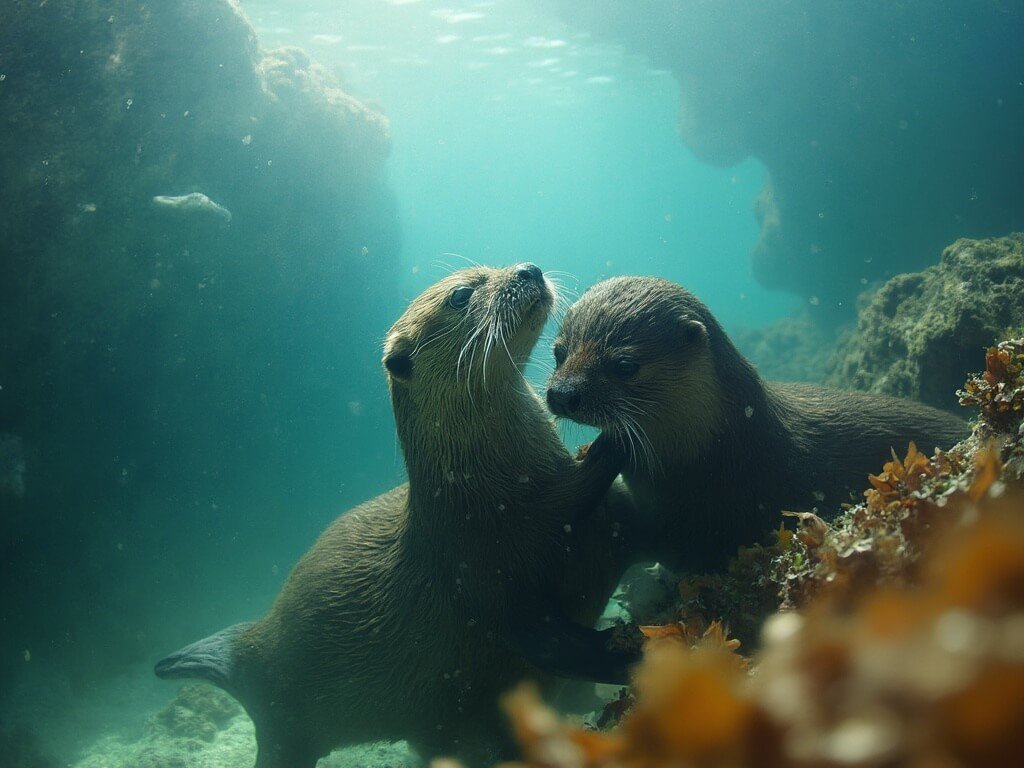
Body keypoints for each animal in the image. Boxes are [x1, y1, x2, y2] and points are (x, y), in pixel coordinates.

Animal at [155, 264, 637, 768]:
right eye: (461, 295)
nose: (530, 269)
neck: (490, 493)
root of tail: (249, 655)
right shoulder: (483, 571)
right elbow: (551, 642)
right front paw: (633, 649)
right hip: (286, 726)